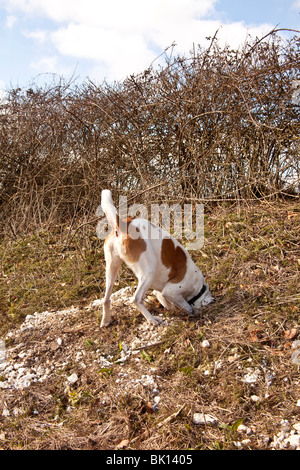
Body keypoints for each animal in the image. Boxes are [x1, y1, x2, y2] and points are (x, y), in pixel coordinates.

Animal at [97, 188, 214, 326]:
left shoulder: (160, 293)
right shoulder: (171, 291)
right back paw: (152, 320)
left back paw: (105, 321)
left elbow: (167, 301)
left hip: (112, 269)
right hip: (149, 271)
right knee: (137, 299)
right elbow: (186, 305)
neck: (198, 286)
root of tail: (123, 225)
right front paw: (189, 312)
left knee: (106, 299)